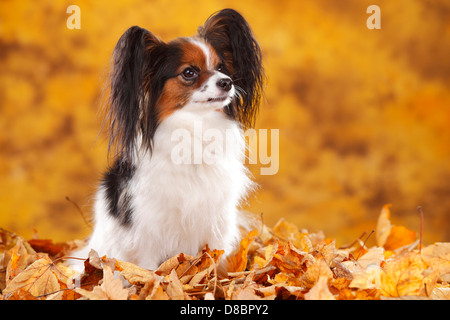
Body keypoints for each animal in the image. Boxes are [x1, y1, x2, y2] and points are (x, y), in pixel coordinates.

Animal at [70, 8, 264, 272]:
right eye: (189, 72)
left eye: (221, 67)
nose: (227, 82)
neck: (195, 127)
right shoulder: (149, 227)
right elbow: (150, 268)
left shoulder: (216, 220)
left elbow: (214, 258)